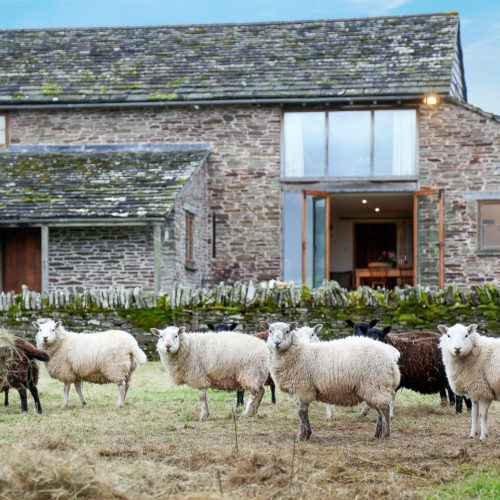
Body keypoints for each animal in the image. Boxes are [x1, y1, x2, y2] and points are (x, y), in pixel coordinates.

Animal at [262, 322, 398, 440]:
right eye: (270, 331)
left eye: (287, 331)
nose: (277, 343)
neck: (300, 352)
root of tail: (391, 353)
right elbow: (304, 413)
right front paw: (307, 434)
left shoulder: (303, 389)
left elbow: (301, 413)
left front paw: (301, 437)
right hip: (372, 388)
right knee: (379, 411)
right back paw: (376, 435)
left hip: (376, 384)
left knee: (384, 410)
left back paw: (385, 435)